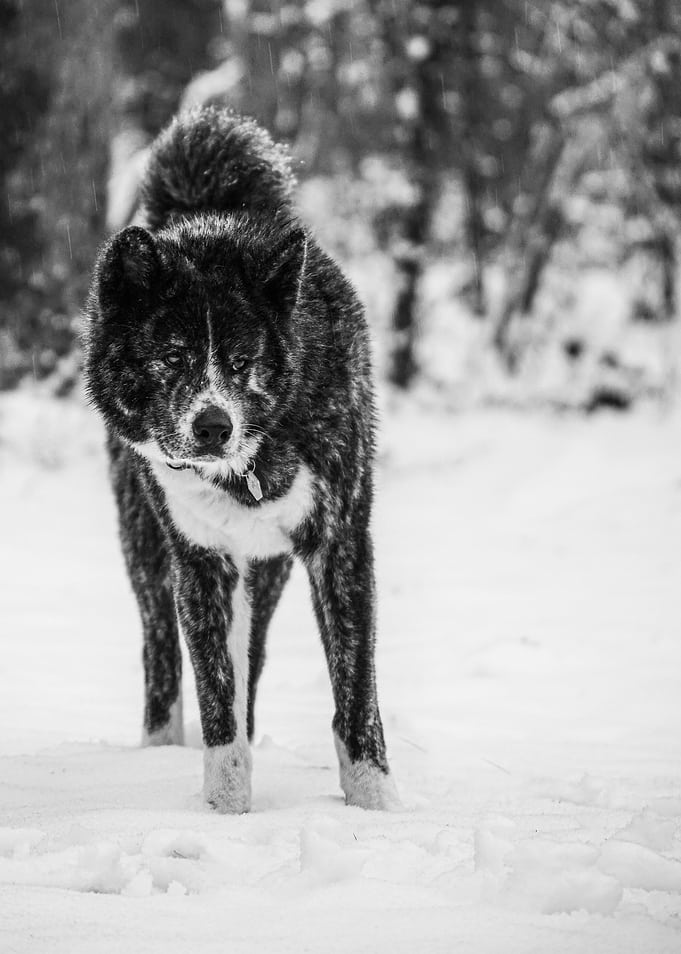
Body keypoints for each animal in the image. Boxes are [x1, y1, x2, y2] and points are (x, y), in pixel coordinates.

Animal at [84, 106, 400, 813]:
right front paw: (227, 814)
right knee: (163, 657)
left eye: (241, 360)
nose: (213, 426)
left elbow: (356, 696)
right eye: (172, 356)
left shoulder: (341, 546)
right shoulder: (200, 563)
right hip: (149, 554)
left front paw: (377, 811)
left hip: (270, 571)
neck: (251, 465)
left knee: (252, 659)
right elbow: (216, 700)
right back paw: (159, 747)